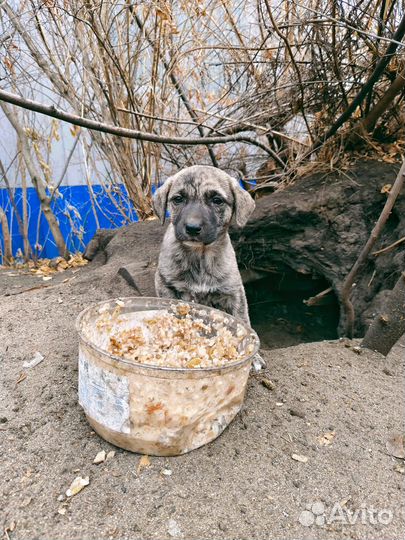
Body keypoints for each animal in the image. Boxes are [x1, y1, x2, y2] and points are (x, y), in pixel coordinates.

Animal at [153, 165, 254, 322]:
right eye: (178, 199)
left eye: (217, 200)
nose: (192, 228)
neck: (200, 255)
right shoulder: (164, 286)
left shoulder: (234, 293)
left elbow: (242, 318)